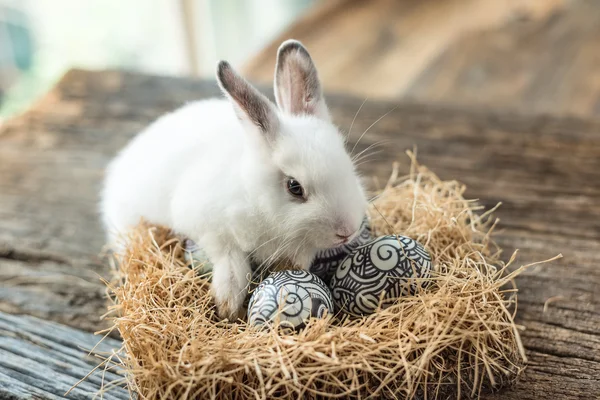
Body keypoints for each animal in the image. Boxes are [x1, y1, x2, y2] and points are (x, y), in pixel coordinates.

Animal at [101, 40, 368, 320]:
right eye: (294, 187)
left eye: (346, 161)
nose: (347, 231)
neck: (257, 199)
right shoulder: (207, 226)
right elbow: (229, 260)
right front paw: (228, 305)